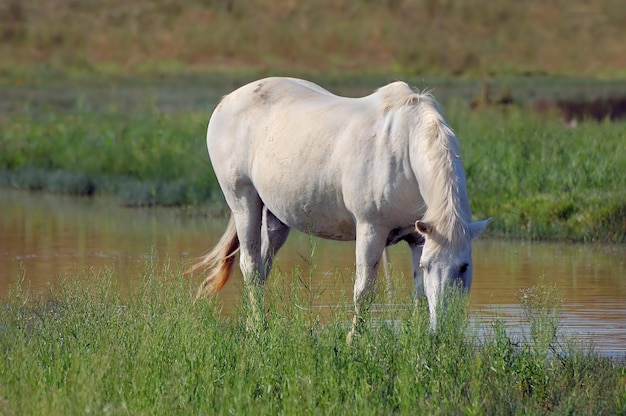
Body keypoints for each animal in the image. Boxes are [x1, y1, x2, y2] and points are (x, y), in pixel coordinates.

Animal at [190, 78, 488, 338]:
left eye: (464, 267)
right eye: (429, 266)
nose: (444, 329)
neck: (405, 150)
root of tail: (227, 100)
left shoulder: (418, 237)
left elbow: (419, 294)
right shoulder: (370, 230)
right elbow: (364, 290)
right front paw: (353, 341)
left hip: (276, 217)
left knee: (263, 269)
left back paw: (255, 324)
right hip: (243, 203)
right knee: (251, 267)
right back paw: (258, 330)